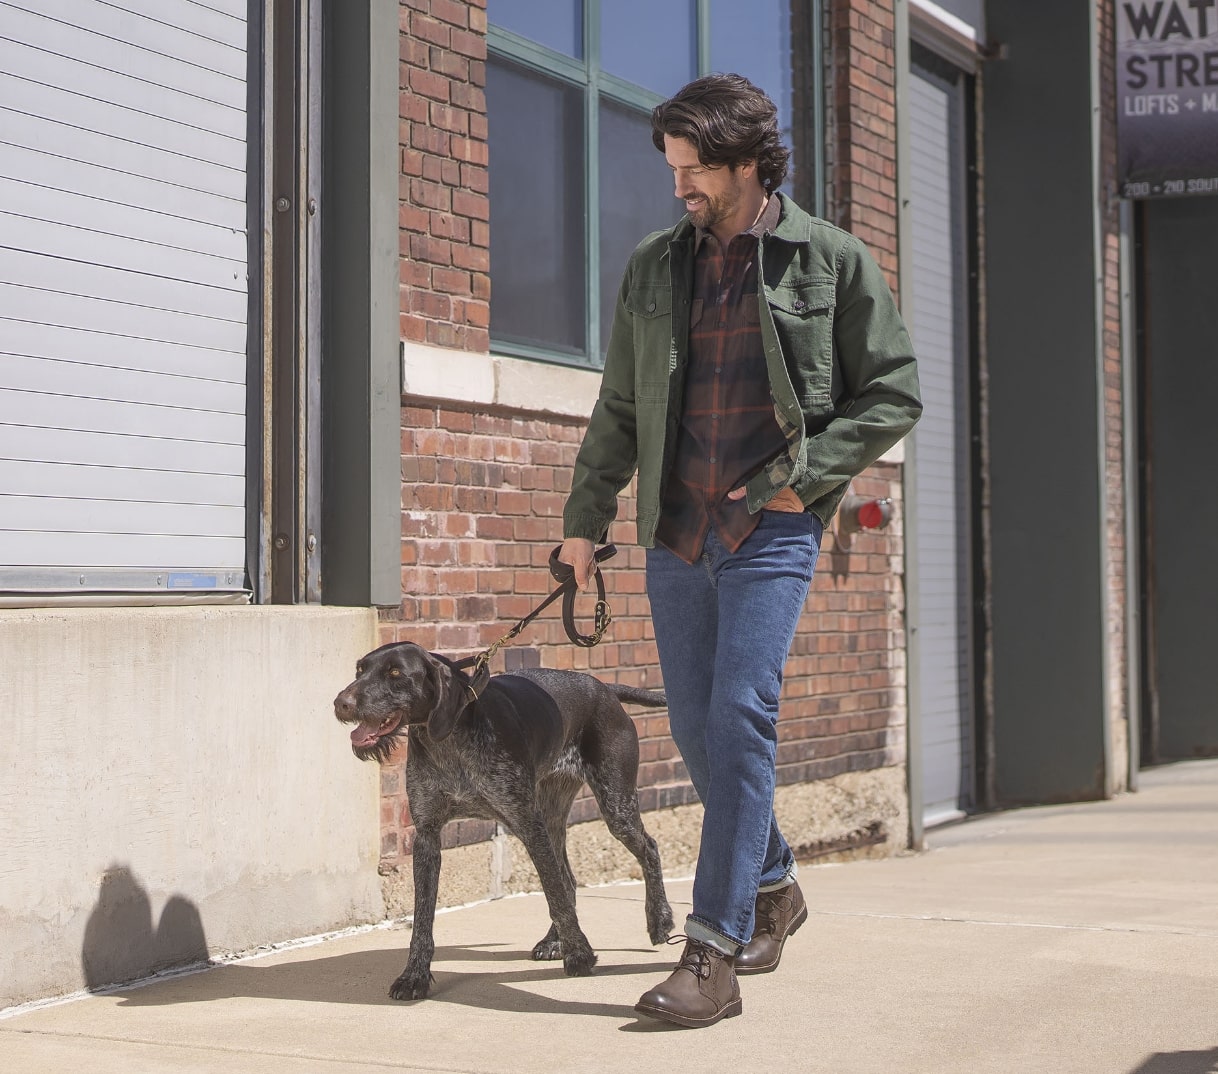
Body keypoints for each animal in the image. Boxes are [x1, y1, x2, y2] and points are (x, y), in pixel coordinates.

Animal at [333, 638, 677, 998]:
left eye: (395, 673)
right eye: (360, 670)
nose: (340, 703)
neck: (451, 739)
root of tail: (604, 688)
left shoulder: (528, 824)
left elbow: (555, 895)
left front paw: (580, 956)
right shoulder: (427, 836)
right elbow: (422, 918)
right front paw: (414, 975)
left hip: (614, 805)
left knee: (647, 849)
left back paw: (660, 920)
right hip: (552, 814)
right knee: (567, 878)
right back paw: (553, 942)